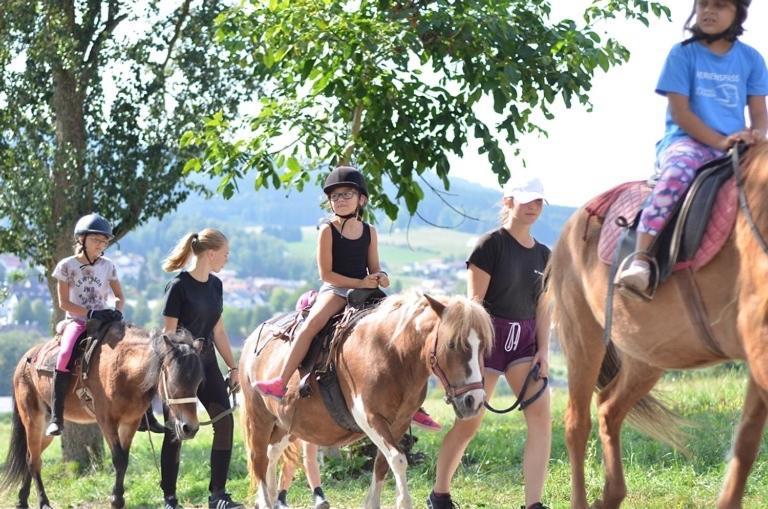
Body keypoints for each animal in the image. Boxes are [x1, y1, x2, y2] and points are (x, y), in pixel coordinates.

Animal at [0, 326, 206, 508]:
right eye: (174, 381)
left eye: (198, 381)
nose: (190, 428)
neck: (124, 370)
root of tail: (23, 361)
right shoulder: (107, 421)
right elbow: (119, 459)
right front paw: (116, 500)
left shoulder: (130, 422)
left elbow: (124, 459)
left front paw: (118, 498)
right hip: (33, 421)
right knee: (34, 461)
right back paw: (43, 502)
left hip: (45, 430)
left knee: (29, 457)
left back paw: (22, 500)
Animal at [240, 292, 492, 508]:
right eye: (452, 344)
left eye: (482, 346)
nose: (474, 400)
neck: (391, 354)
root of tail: (250, 340)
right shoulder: (369, 418)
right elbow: (398, 459)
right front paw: (403, 501)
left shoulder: (399, 423)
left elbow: (382, 463)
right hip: (259, 417)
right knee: (258, 458)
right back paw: (265, 500)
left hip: (287, 424)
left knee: (272, 453)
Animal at [548, 141, 768, 508]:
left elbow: (746, 444)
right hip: (582, 336)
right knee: (576, 424)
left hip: (648, 354)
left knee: (608, 408)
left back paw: (611, 495)